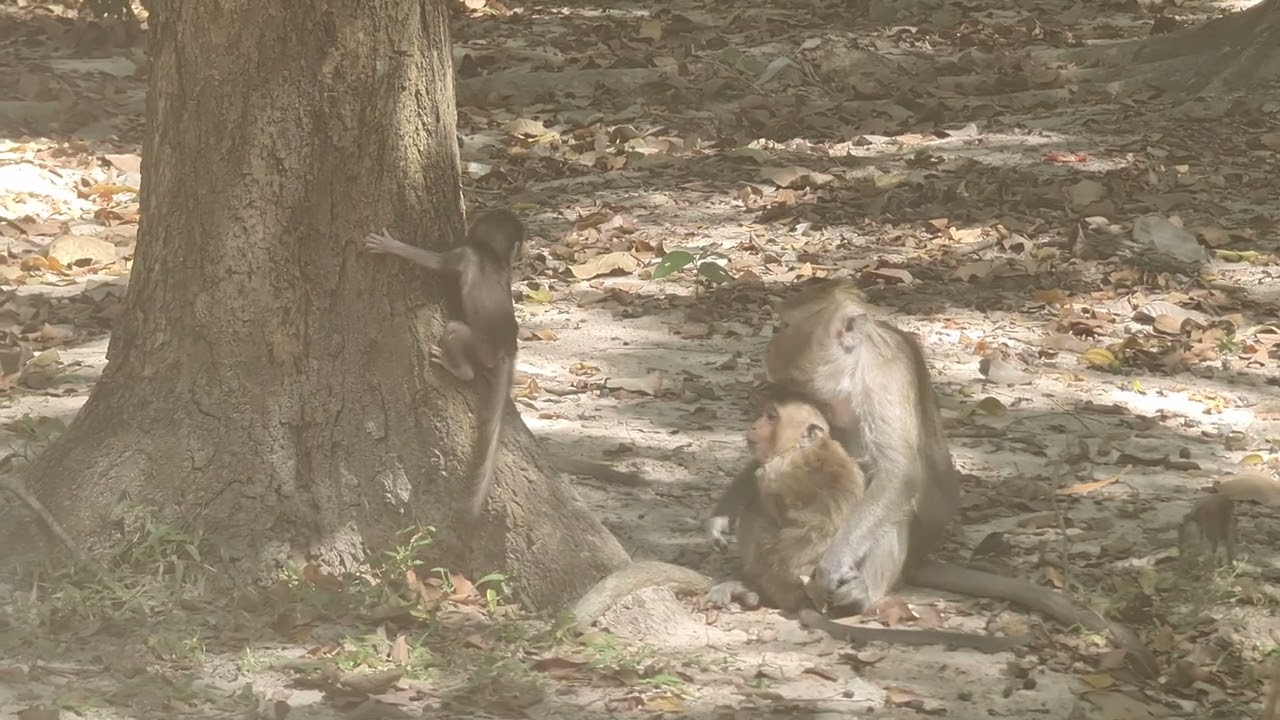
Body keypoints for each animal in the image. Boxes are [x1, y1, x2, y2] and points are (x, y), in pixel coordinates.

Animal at [362, 209, 523, 519]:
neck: (490, 253)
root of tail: (507, 348)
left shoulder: (463, 254)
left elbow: (434, 262)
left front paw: (391, 246)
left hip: (477, 342)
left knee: (456, 335)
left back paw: (456, 367)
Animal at [704, 390, 1026, 654]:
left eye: (771, 416)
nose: (753, 426)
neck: (809, 448)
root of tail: (805, 596)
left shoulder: (774, 472)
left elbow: (765, 495)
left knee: (757, 515)